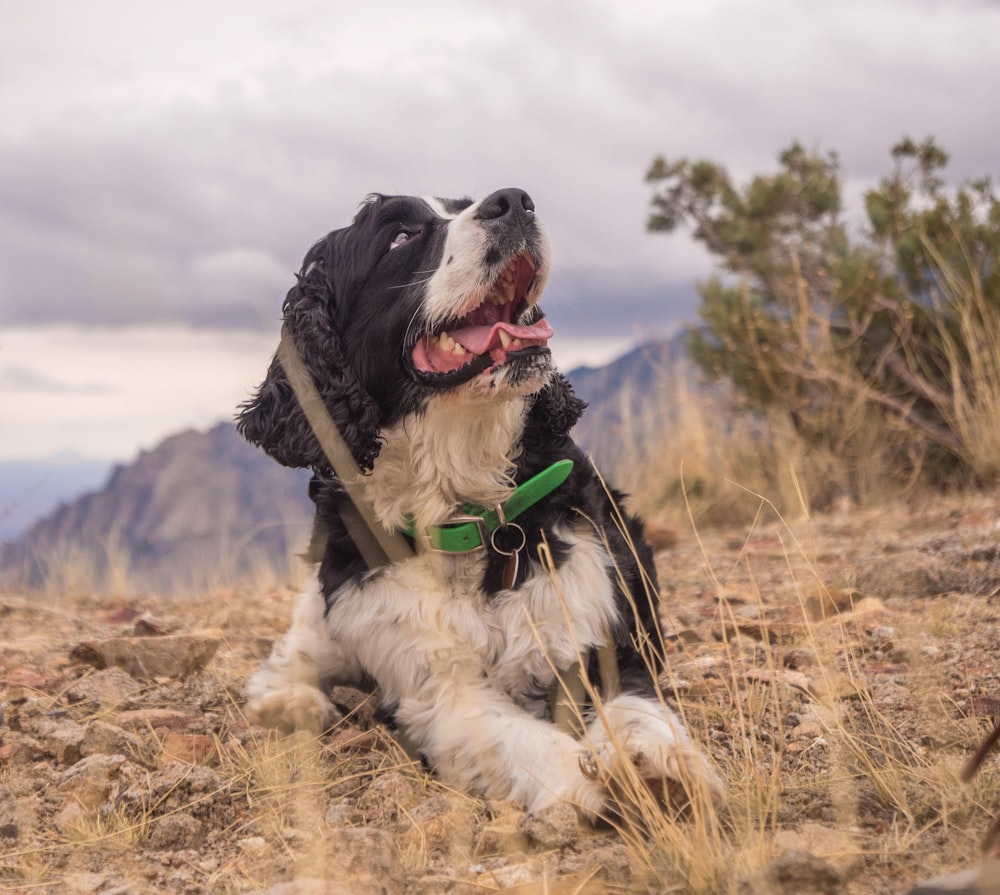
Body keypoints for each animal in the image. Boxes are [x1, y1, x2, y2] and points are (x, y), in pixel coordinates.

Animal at [236, 189, 720, 820]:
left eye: (465, 203)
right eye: (399, 236)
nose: (514, 201)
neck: (474, 514)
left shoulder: (607, 619)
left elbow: (634, 706)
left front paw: (661, 769)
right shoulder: (438, 687)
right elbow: (525, 739)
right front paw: (595, 783)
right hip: (326, 613)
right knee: (293, 658)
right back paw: (290, 704)